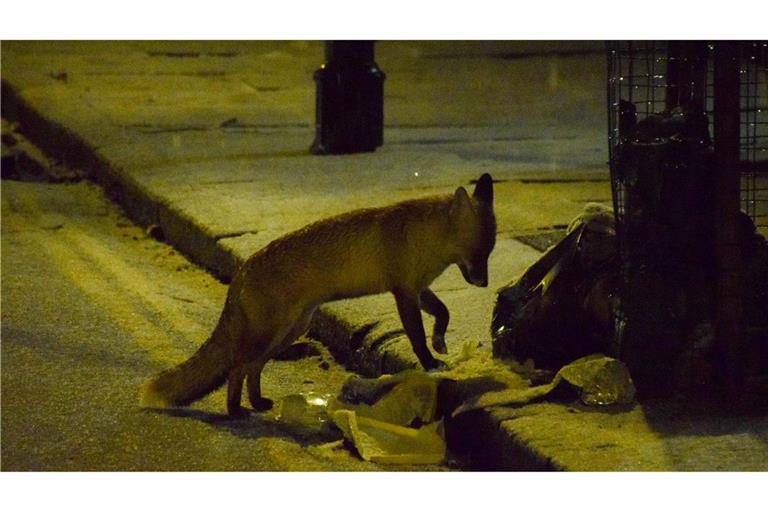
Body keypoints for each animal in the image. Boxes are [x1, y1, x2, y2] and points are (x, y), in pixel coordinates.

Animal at [140, 173, 496, 416]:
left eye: (489, 252)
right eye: (479, 253)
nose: (485, 284)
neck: (423, 237)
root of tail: (243, 269)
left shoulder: (420, 289)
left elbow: (444, 312)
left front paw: (441, 341)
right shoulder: (404, 292)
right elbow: (417, 337)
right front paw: (430, 362)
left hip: (288, 332)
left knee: (253, 367)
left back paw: (256, 402)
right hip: (268, 334)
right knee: (236, 368)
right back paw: (235, 410)